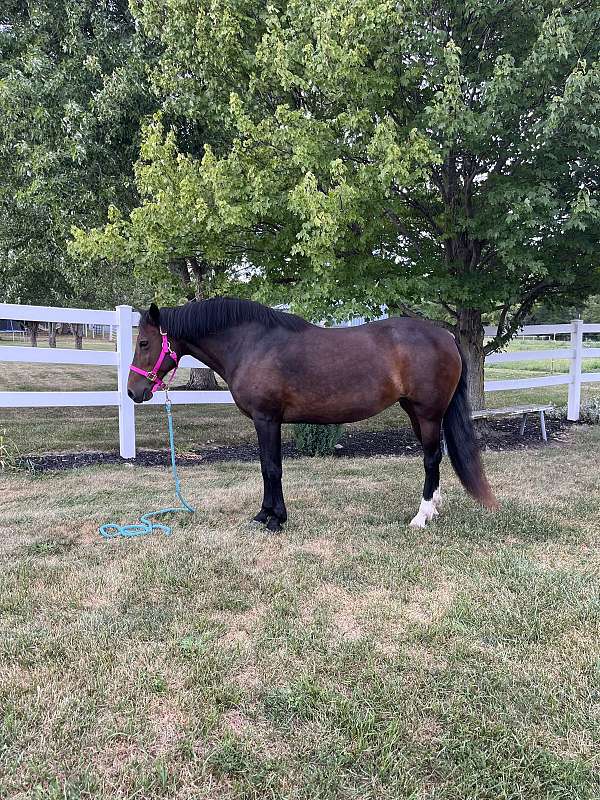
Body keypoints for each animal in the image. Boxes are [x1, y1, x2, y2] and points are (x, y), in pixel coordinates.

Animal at [127, 297, 498, 532]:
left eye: (144, 343)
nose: (133, 392)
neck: (252, 344)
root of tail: (445, 335)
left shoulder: (267, 419)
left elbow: (271, 467)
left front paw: (273, 519)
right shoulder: (268, 421)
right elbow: (267, 467)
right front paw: (264, 515)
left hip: (429, 413)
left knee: (431, 458)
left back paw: (420, 517)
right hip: (417, 412)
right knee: (434, 456)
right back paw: (433, 508)